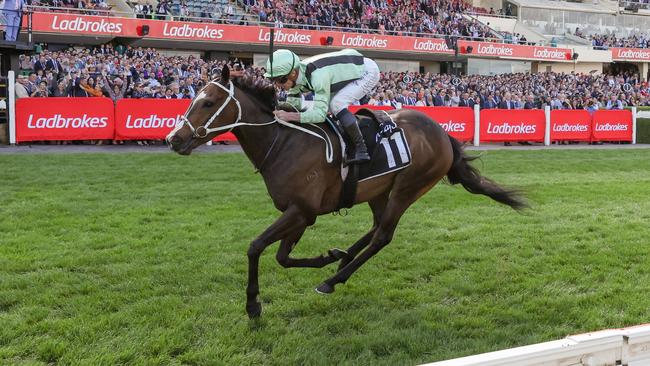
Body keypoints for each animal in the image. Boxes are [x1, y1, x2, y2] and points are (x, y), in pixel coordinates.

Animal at [165, 67, 524, 318]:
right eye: (193, 98)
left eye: (208, 102)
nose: (174, 139)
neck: (284, 143)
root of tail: (441, 132)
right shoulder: (300, 214)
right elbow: (282, 257)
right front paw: (328, 256)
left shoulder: (302, 210)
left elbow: (256, 247)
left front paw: (253, 305)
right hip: (381, 190)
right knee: (376, 227)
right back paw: (343, 259)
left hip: (408, 188)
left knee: (383, 236)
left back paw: (334, 279)